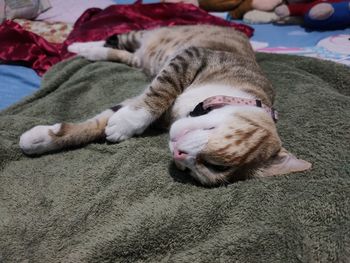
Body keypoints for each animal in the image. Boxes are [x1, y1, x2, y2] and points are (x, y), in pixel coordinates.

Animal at [18, 24, 312, 186]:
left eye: (202, 169)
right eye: (217, 165)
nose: (180, 157)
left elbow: (101, 121)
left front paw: (40, 139)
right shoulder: (191, 57)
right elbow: (162, 89)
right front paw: (127, 122)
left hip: (139, 59)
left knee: (121, 52)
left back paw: (88, 51)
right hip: (153, 35)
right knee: (119, 36)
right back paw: (78, 44)